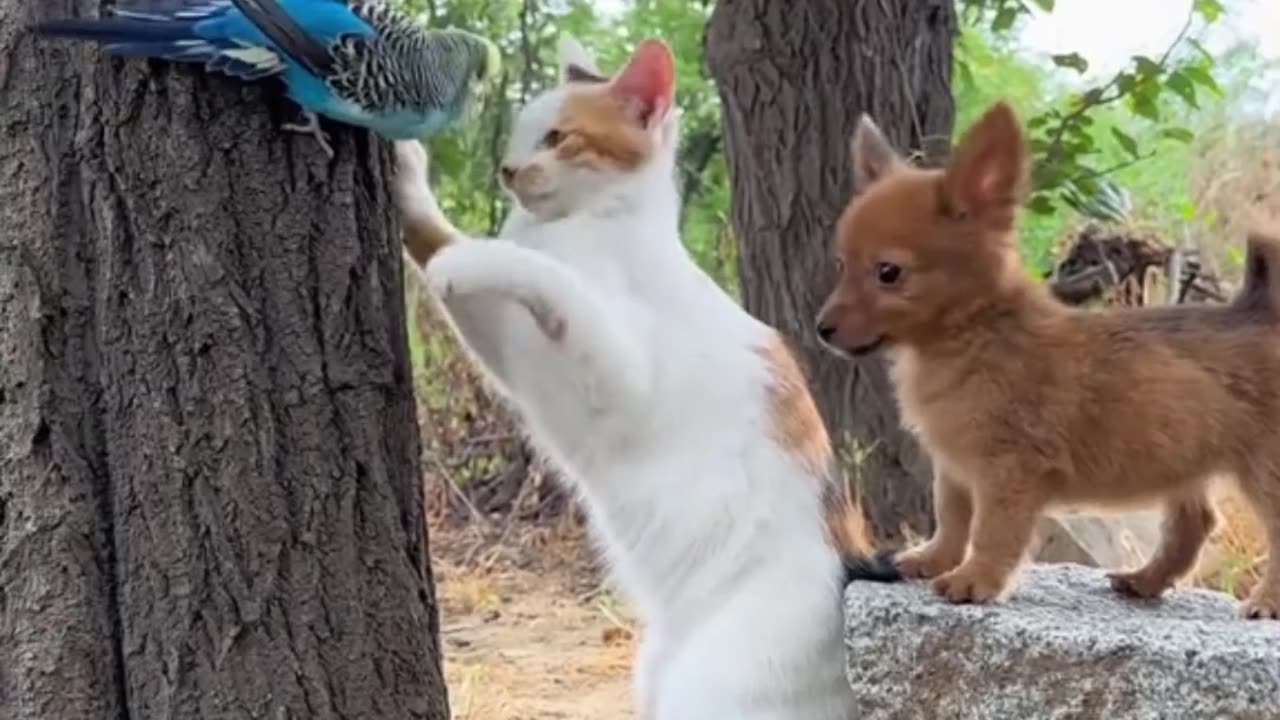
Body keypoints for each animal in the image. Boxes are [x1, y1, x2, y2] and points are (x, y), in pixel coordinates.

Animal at [394, 36, 896, 717]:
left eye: (557, 137)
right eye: (522, 133)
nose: (507, 168)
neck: (586, 225)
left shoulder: (619, 368)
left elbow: (545, 275)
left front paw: (475, 255)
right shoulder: (508, 348)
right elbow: (440, 244)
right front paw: (406, 180)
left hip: (714, 689)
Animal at [819, 99, 1280, 617]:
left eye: (888, 273)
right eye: (842, 266)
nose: (822, 329)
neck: (975, 335)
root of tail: (1259, 309)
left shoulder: (1009, 474)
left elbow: (992, 532)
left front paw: (975, 579)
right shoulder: (954, 469)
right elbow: (952, 518)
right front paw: (934, 559)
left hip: (1266, 470)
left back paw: (1266, 601)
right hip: (1186, 463)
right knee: (1194, 523)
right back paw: (1144, 580)